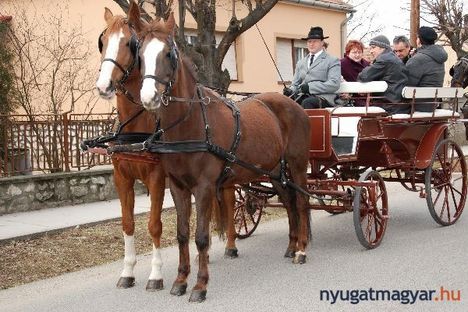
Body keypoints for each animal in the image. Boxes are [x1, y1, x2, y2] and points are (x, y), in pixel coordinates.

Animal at [135, 15, 312, 302]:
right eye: (139, 55)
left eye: (168, 53)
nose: (149, 97)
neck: (192, 123)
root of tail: (293, 103)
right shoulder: (178, 187)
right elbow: (182, 234)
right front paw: (180, 280)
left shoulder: (205, 187)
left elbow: (201, 237)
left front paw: (200, 285)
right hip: (274, 170)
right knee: (289, 202)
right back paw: (291, 245)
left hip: (297, 165)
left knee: (302, 201)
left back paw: (302, 250)